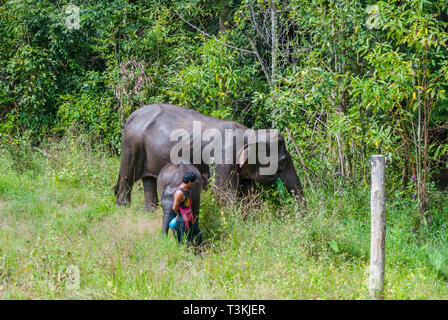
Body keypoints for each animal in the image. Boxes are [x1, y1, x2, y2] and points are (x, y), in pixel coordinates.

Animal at [114, 104, 306, 211]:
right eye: (283, 161)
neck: (249, 133)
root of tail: (133, 115)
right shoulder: (223, 159)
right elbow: (224, 194)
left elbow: (248, 194)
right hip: (132, 145)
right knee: (127, 179)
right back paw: (122, 210)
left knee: (149, 180)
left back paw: (149, 213)